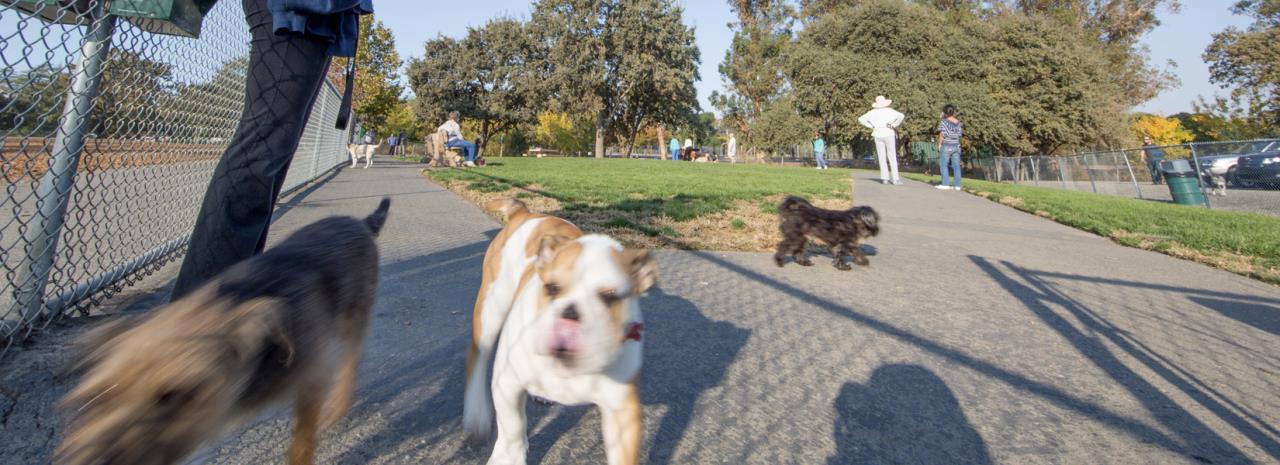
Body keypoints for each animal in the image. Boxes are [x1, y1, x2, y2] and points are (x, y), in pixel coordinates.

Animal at [58, 197, 389, 465]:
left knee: (351, 361)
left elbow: (302, 443)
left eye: (176, 395)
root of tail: (360, 222)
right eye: (100, 395)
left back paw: (340, 403)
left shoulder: (313, 377)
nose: (90, 460)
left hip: (353, 318)